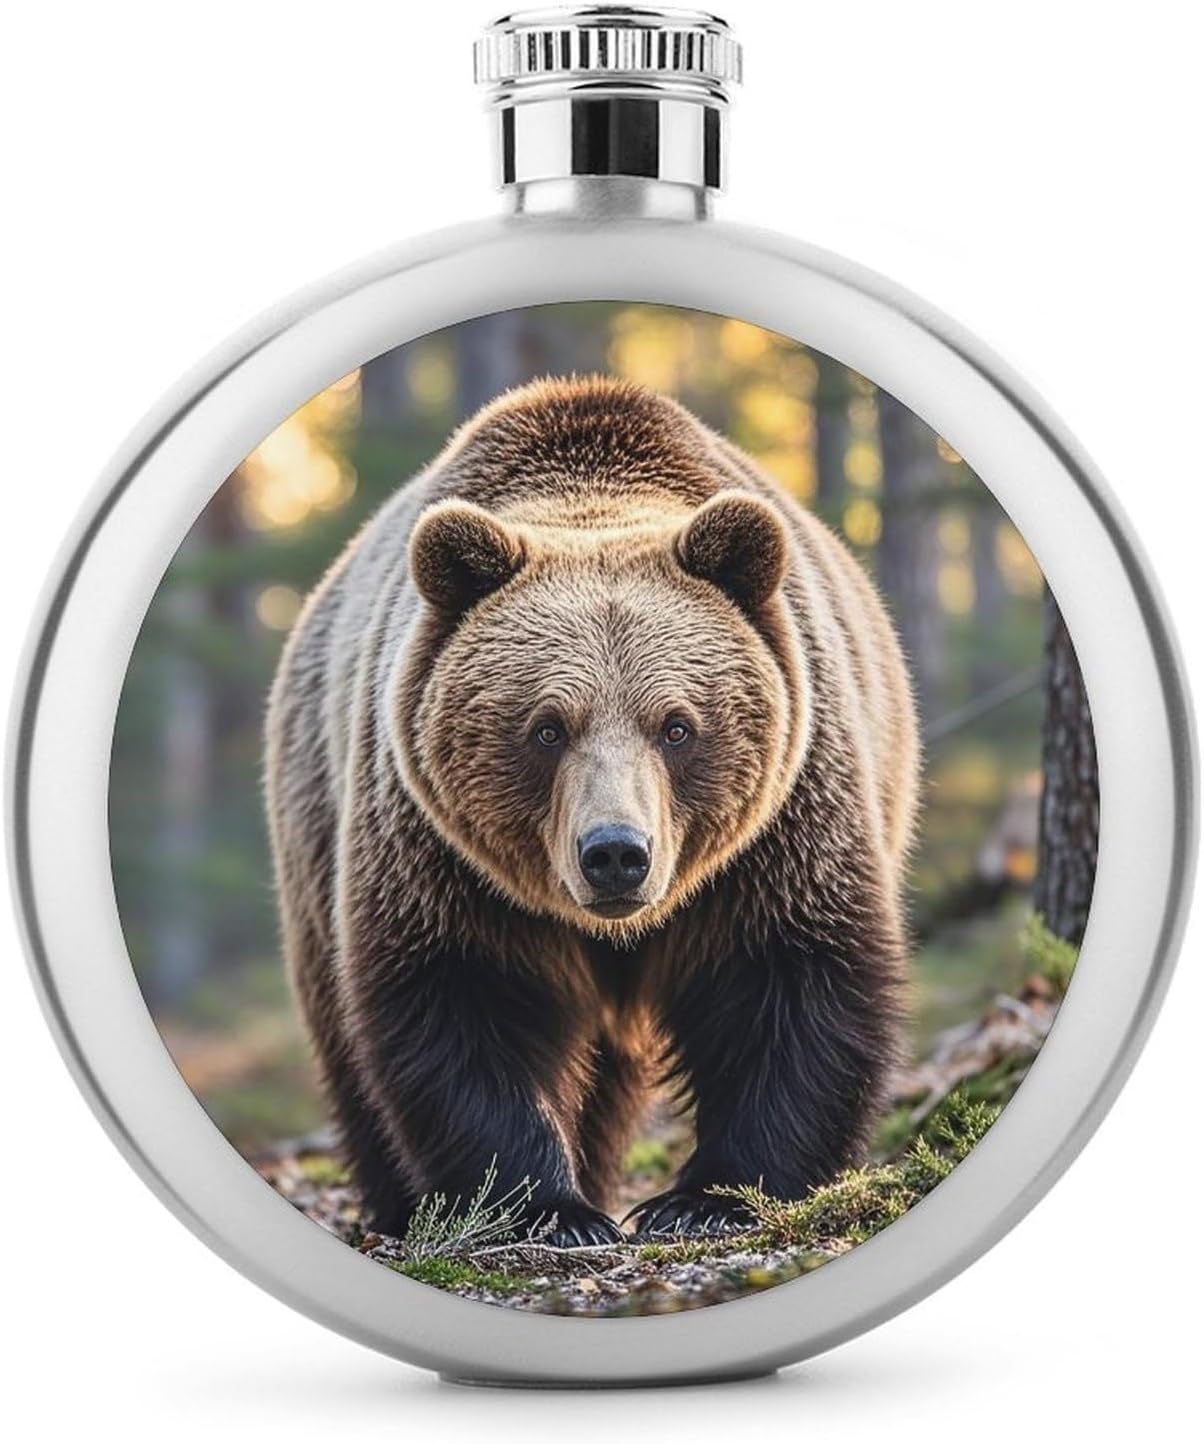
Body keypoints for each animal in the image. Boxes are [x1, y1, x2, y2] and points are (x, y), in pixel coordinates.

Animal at [265, 374, 919, 1245]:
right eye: (547, 727)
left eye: (677, 725)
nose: (615, 853)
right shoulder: (438, 853)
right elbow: (458, 997)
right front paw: (551, 1209)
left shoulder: (783, 827)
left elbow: (793, 979)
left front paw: (705, 1199)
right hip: (313, 817)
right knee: (345, 1035)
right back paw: (404, 1206)